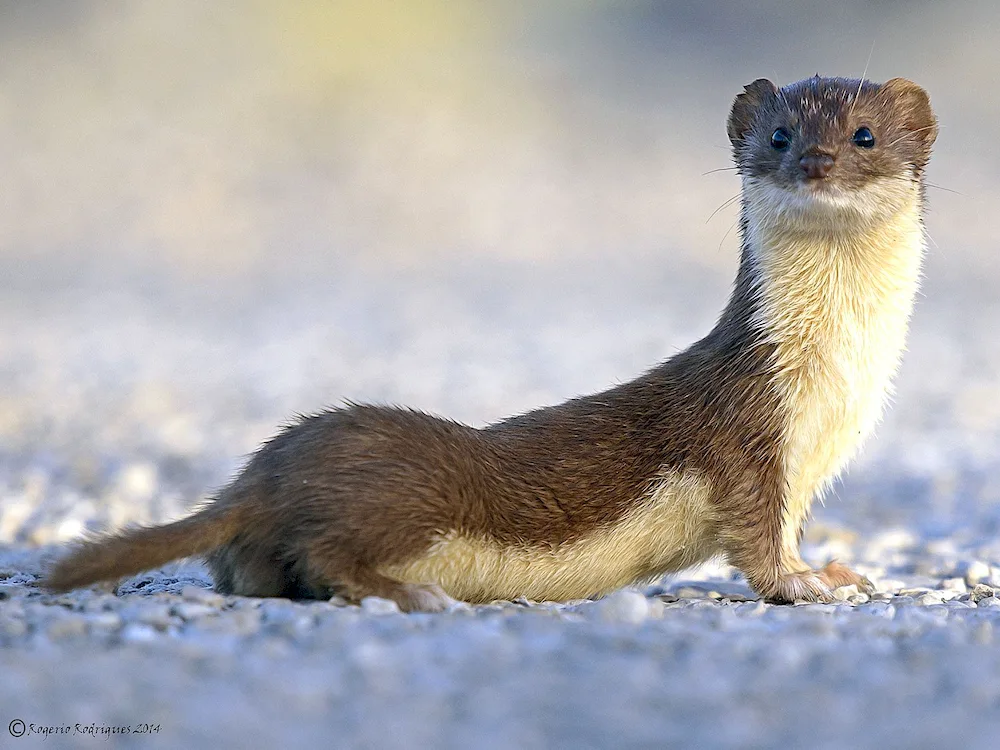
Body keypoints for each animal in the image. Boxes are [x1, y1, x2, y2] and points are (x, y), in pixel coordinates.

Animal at [45, 76, 936, 612]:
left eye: (863, 135)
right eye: (780, 135)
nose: (816, 159)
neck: (836, 391)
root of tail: (263, 472)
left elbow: (787, 527)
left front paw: (840, 568)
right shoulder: (744, 433)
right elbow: (755, 537)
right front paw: (807, 584)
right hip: (407, 495)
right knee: (328, 551)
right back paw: (411, 595)